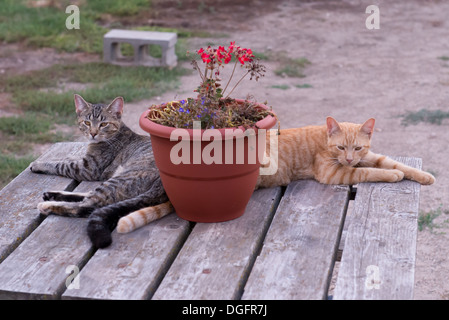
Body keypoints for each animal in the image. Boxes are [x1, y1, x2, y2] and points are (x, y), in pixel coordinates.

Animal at [30, 94, 170, 249]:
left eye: (103, 124)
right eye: (87, 122)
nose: (93, 133)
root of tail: (162, 188)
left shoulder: (88, 168)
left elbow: (61, 165)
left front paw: (38, 163)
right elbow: (67, 159)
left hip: (121, 179)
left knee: (89, 205)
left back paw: (47, 205)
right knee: (91, 197)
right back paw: (53, 195)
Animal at [116, 116, 434, 234]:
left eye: (356, 146)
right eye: (340, 146)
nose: (348, 157)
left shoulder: (369, 155)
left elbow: (394, 163)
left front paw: (423, 176)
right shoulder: (333, 172)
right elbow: (371, 171)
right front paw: (392, 177)